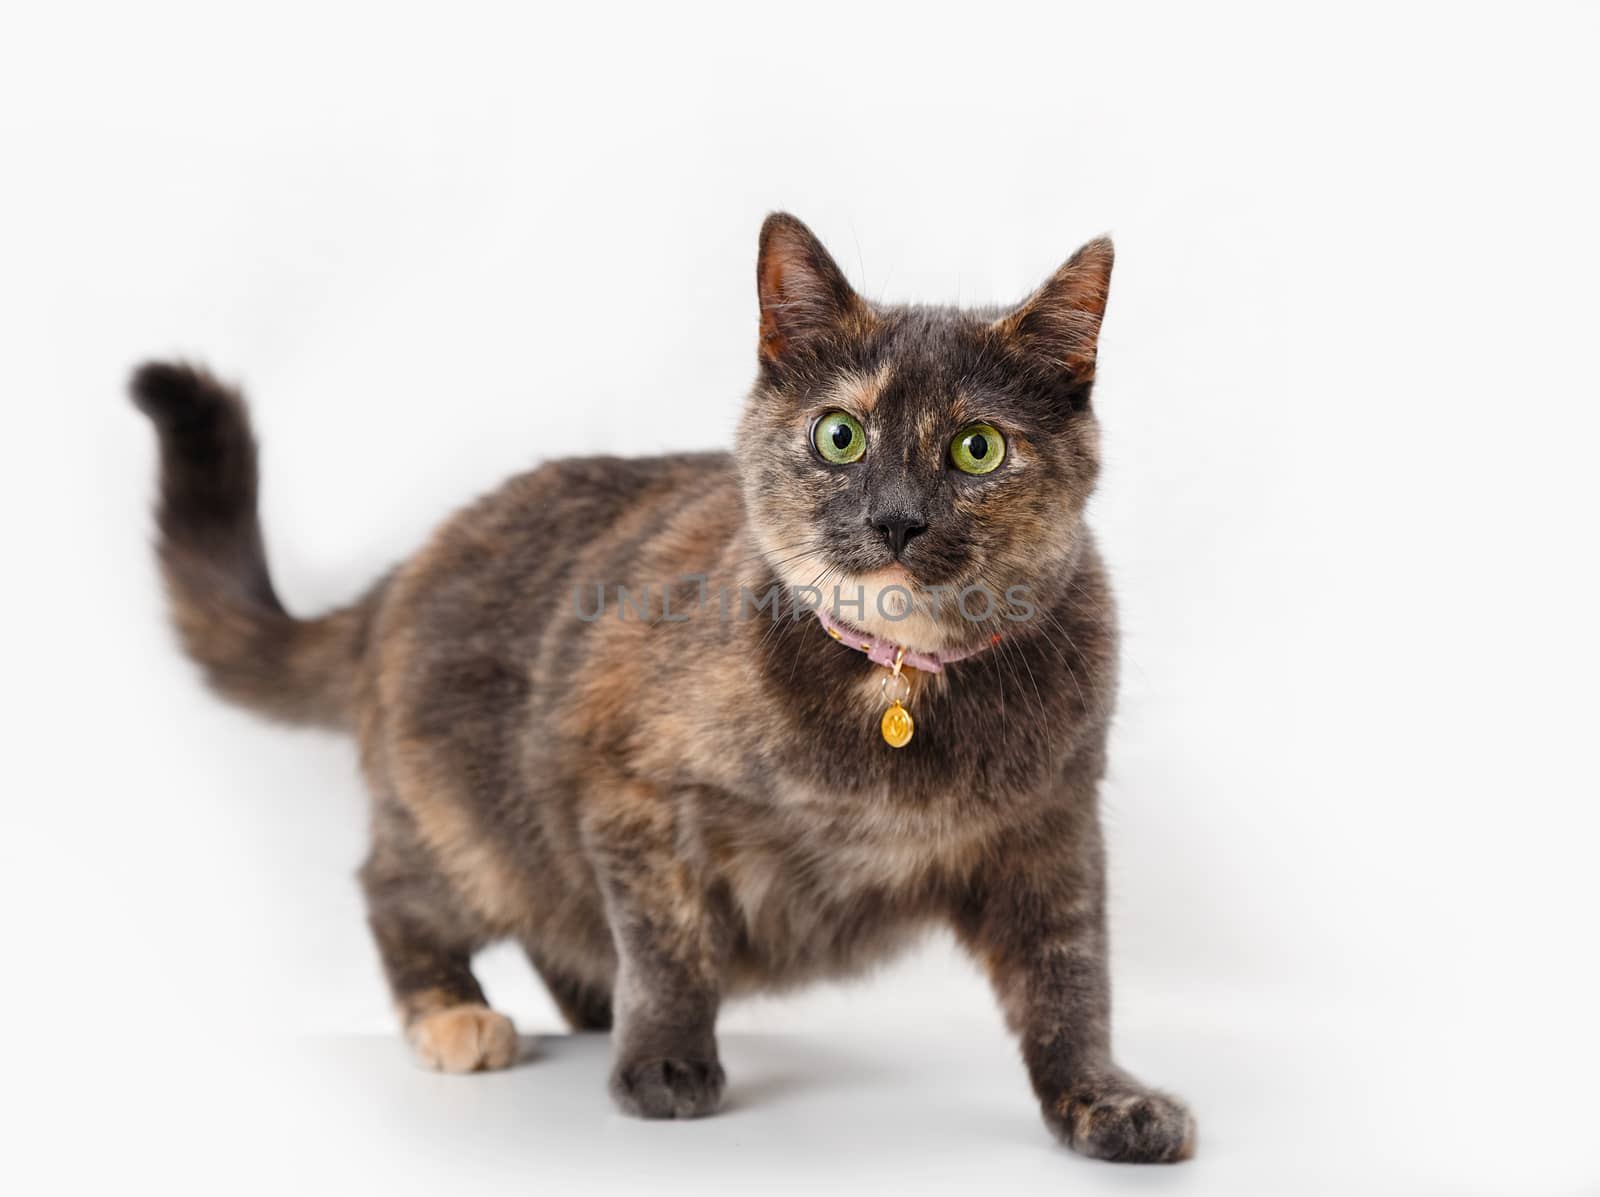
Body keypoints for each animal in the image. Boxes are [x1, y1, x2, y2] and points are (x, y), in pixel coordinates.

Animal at [134, 212, 1190, 1158]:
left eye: (978, 448)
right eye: (839, 436)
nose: (896, 518)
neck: (894, 684)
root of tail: (399, 577)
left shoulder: (1053, 828)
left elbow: (1070, 978)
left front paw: (1104, 1099)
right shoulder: (629, 791)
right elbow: (668, 941)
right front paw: (666, 1061)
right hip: (478, 830)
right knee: (397, 891)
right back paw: (455, 1013)